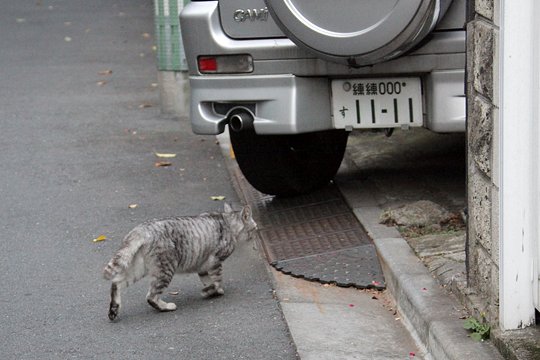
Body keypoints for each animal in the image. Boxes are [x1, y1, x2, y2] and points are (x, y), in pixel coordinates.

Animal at [104, 202, 260, 320]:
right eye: (255, 228)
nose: (257, 232)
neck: (228, 222)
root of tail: (141, 229)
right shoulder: (215, 261)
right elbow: (217, 280)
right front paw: (214, 290)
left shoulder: (203, 265)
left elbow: (208, 281)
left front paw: (209, 291)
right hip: (165, 269)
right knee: (151, 296)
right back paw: (166, 307)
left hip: (139, 268)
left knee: (116, 283)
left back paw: (114, 310)